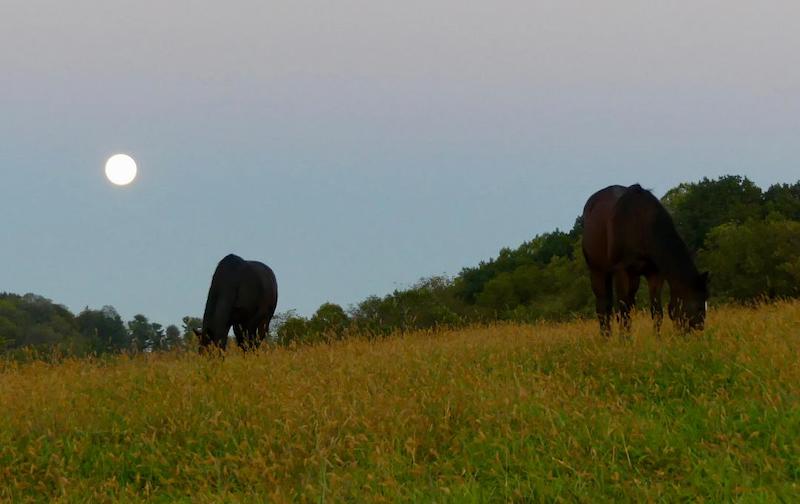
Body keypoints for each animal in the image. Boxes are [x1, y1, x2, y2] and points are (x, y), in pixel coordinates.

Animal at [581, 184, 709, 336]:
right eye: (699, 306)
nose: (699, 333)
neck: (640, 222)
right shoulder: (622, 271)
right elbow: (623, 311)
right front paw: (624, 340)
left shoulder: (655, 273)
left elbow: (656, 312)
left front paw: (657, 338)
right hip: (598, 272)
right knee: (603, 307)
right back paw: (606, 337)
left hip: (633, 279)